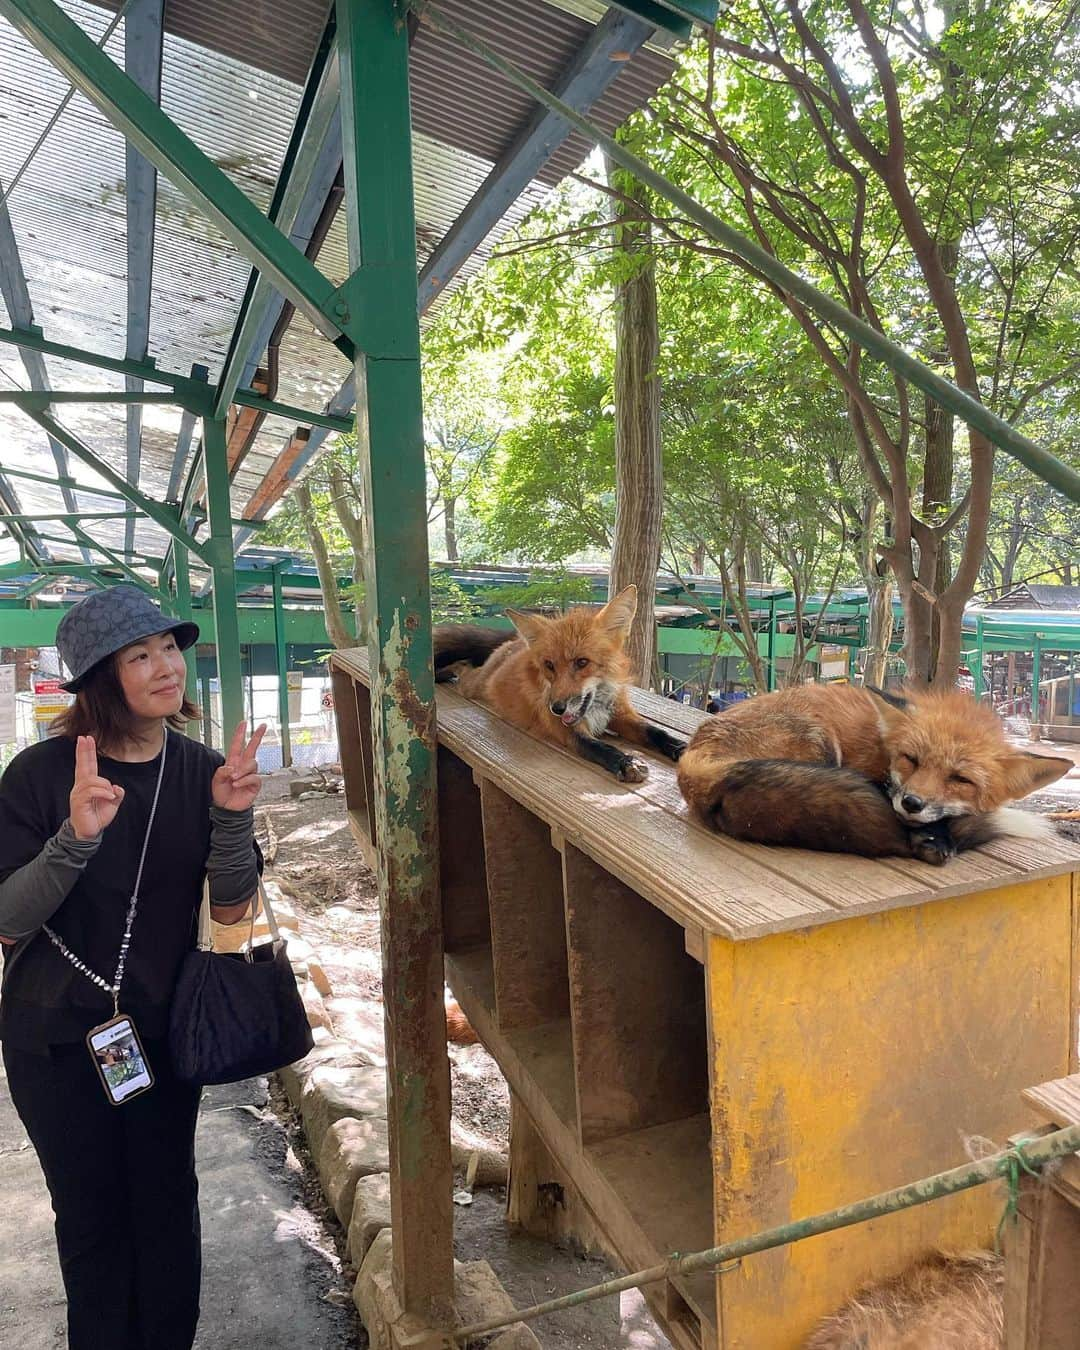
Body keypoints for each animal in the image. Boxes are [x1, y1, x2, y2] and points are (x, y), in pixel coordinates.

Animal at [429, 585, 683, 788]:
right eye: (549, 665)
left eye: (582, 662)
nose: (557, 708)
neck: (597, 707)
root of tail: (515, 642)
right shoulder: (568, 731)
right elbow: (600, 747)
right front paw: (625, 762)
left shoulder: (621, 715)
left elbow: (656, 732)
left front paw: (680, 748)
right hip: (474, 685)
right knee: (463, 668)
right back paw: (447, 672)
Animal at [680, 685, 1069, 864]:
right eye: (911, 759)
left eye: (961, 780)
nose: (912, 803)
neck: (881, 747)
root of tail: (694, 756)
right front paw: (932, 838)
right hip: (820, 739)